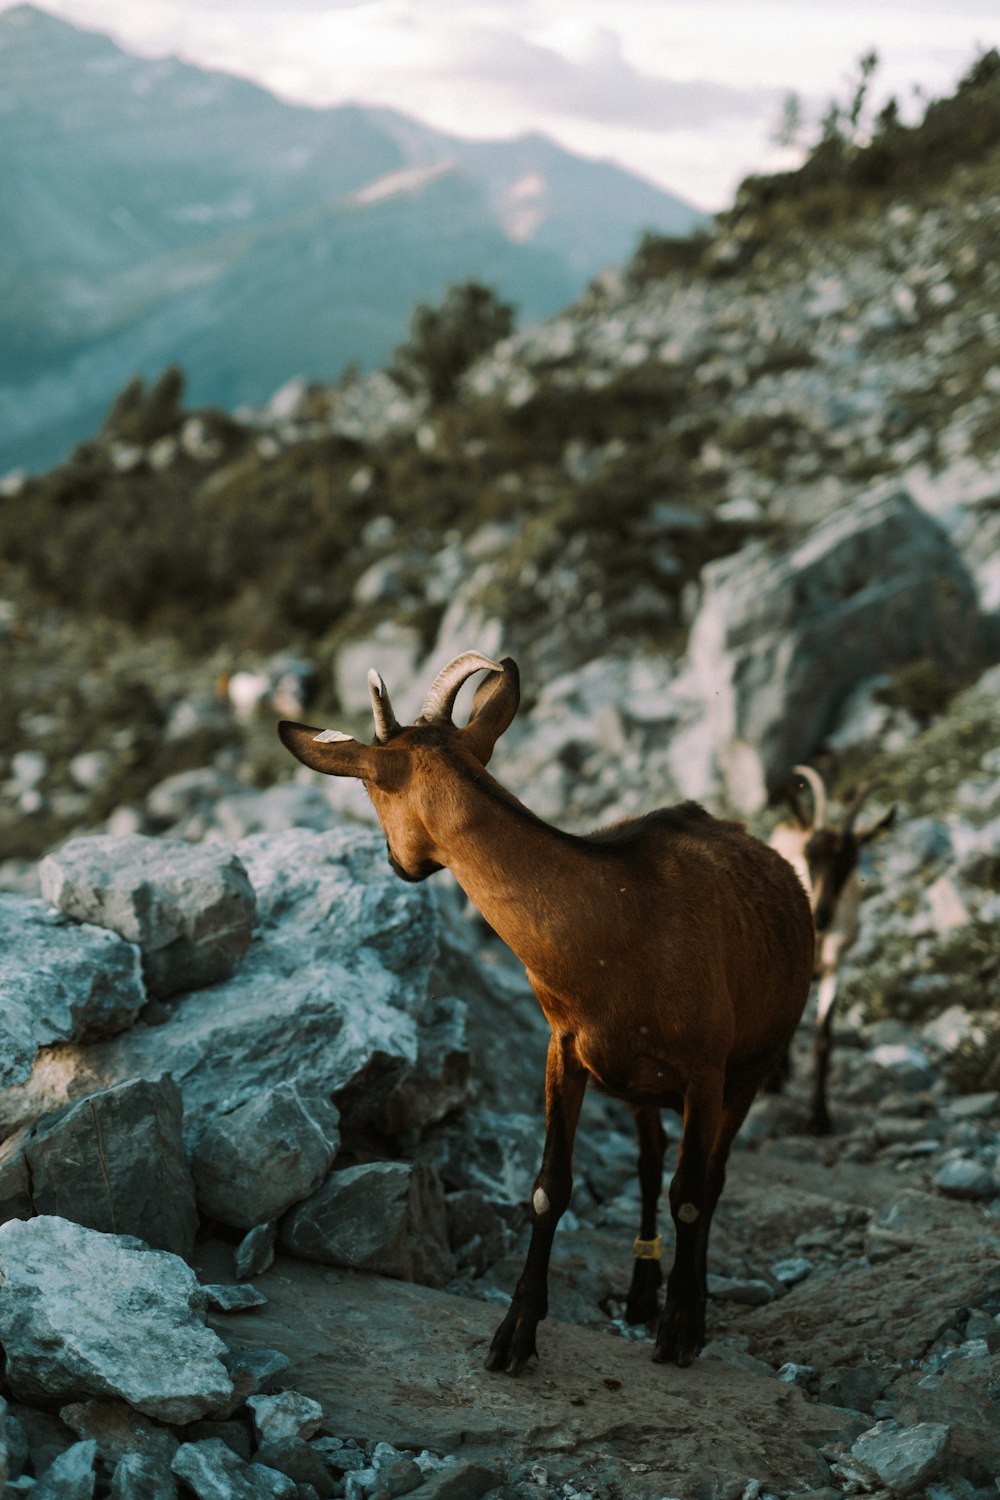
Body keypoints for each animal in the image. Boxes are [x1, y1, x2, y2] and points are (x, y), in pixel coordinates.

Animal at [277, 651, 815, 1374]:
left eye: (370, 790)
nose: (396, 861)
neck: (616, 925)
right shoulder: (567, 1050)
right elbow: (549, 1187)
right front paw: (515, 1333)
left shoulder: (705, 1070)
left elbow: (692, 1194)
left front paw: (681, 1329)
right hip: (642, 1087)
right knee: (649, 1169)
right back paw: (640, 1292)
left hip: (747, 1071)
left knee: (709, 1178)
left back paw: (684, 1303)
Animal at [773, 768, 893, 1128]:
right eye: (810, 854)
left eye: (850, 860)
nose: (822, 914)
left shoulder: (835, 965)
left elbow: (824, 1038)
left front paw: (820, 1118)